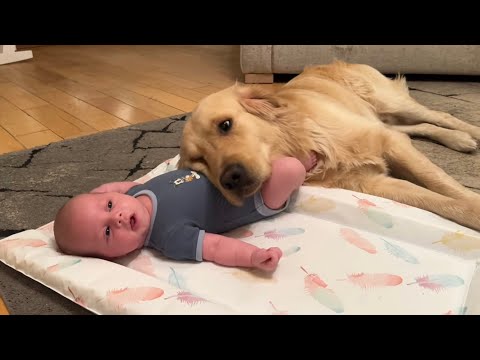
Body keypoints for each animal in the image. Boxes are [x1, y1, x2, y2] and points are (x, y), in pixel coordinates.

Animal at [178, 60, 480, 231]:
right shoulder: (373, 182)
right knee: (417, 128)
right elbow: (438, 201)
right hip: (383, 118)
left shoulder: (389, 142)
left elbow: (442, 184)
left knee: (439, 115)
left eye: (225, 125)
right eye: (200, 162)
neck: (310, 147)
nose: (230, 179)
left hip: (388, 101)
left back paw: (469, 133)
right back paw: (459, 139)